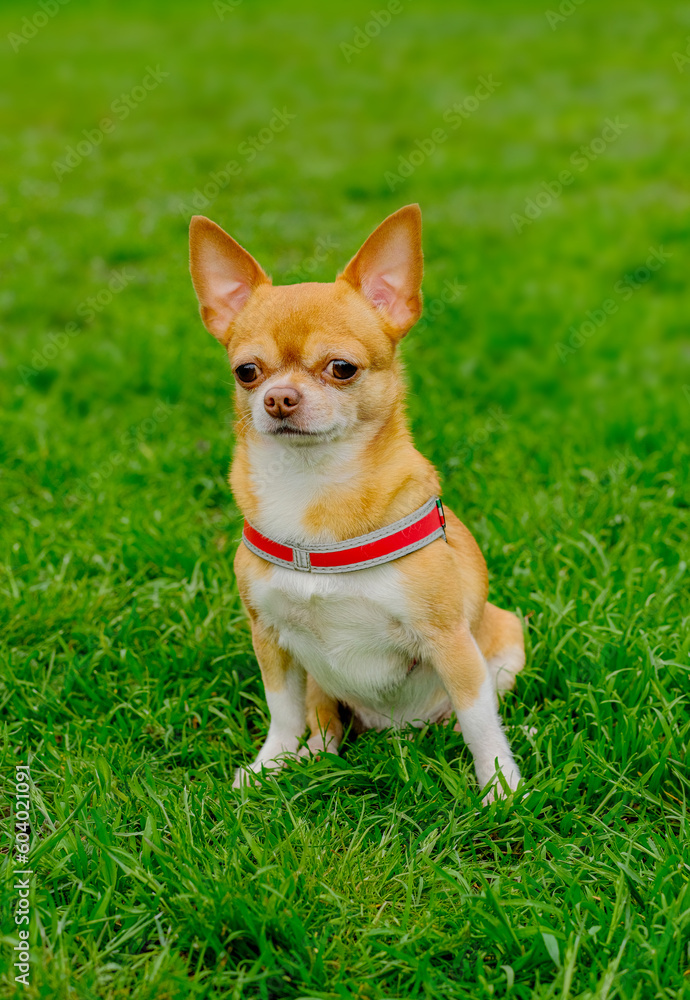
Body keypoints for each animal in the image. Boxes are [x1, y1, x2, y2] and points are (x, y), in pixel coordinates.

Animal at [188, 207, 520, 800]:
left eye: (342, 368)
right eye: (247, 372)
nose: (278, 398)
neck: (314, 487)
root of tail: (397, 731)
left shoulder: (452, 643)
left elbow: (480, 721)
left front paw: (501, 788)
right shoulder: (269, 638)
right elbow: (283, 712)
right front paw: (268, 765)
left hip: (507, 643)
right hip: (323, 685)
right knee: (323, 722)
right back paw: (310, 758)